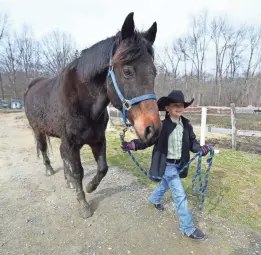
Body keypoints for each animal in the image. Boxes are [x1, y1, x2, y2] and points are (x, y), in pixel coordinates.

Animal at [23, 11, 160, 218]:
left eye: (154, 72)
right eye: (127, 70)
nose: (152, 129)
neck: (83, 104)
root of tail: (31, 85)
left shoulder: (97, 140)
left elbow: (103, 168)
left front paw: (89, 187)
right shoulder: (71, 144)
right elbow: (78, 171)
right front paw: (84, 205)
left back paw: (69, 182)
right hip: (38, 130)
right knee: (44, 150)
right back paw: (49, 170)